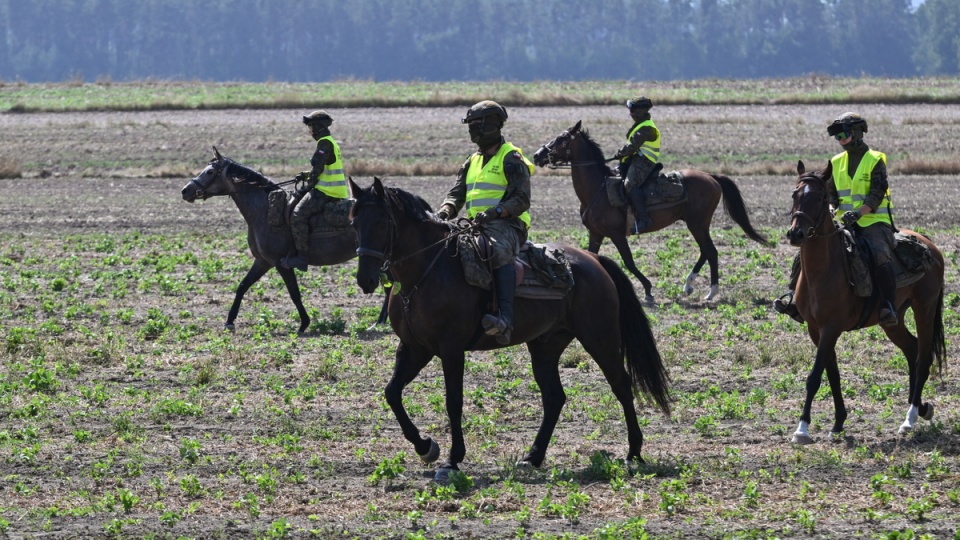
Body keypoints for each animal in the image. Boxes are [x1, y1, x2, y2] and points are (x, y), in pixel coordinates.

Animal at [184, 148, 386, 334]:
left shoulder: (281, 263)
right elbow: (242, 286)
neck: (265, 210)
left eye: (210, 172)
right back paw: (380, 322)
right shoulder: (263, 261)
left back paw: (380, 322)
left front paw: (304, 323)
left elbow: (294, 293)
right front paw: (229, 321)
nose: (185, 191)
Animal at [348, 177, 672, 480]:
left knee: (621, 385)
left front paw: (452, 460)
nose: (365, 279)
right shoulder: (415, 348)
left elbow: (454, 402)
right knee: (554, 397)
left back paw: (633, 451)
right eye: (354, 222)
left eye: (381, 222)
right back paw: (533, 456)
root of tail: (594, 260)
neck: (427, 271)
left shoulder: (451, 350)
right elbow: (392, 392)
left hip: (600, 338)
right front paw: (425, 446)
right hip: (545, 345)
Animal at [528, 122, 768, 304]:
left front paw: (648, 290)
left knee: (711, 251)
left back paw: (711, 292)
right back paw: (689, 285)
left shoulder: (616, 234)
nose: (537, 155)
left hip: (697, 223)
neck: (598, 189)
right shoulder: (595, 234)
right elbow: (591, 256)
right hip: (696, 224)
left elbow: (629, 262)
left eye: (562, 139)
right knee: (705, 251)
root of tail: (711, 176)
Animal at [788, 161, 944, 442]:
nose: (796, 233)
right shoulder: (816, 330)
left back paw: (910, 418)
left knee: (922, 358)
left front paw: (802, 429)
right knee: (912, 349)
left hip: (924, 309)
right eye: (795, 194)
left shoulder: (830, 328)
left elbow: (815, 376)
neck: (823, 270)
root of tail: (931, 247)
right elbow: (832, 374)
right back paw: (920, 407)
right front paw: (838, 422)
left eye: (819, 197)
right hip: (893, 320)